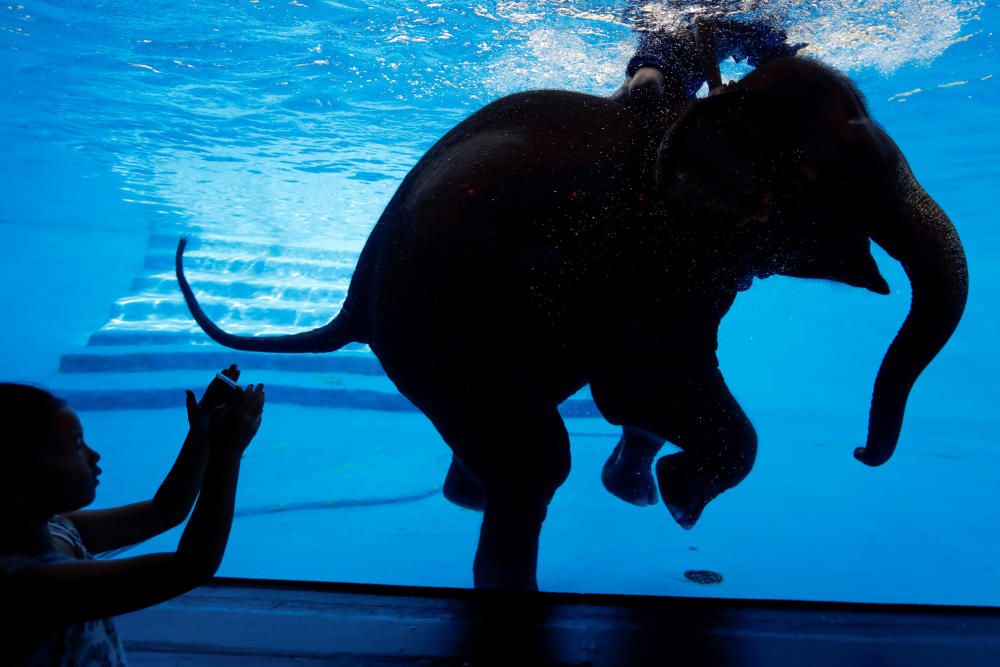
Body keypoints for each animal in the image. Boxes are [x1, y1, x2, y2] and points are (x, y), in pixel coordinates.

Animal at [178, 57, 968, 588]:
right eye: (846, 170)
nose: (862, 453)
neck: (711, 109)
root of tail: (352, 301)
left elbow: (652, 383)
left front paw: (651, 488)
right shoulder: (648, 247)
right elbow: (642, 379)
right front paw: (682, 501)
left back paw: (468, 493)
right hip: (437, 334)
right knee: (537, 459)